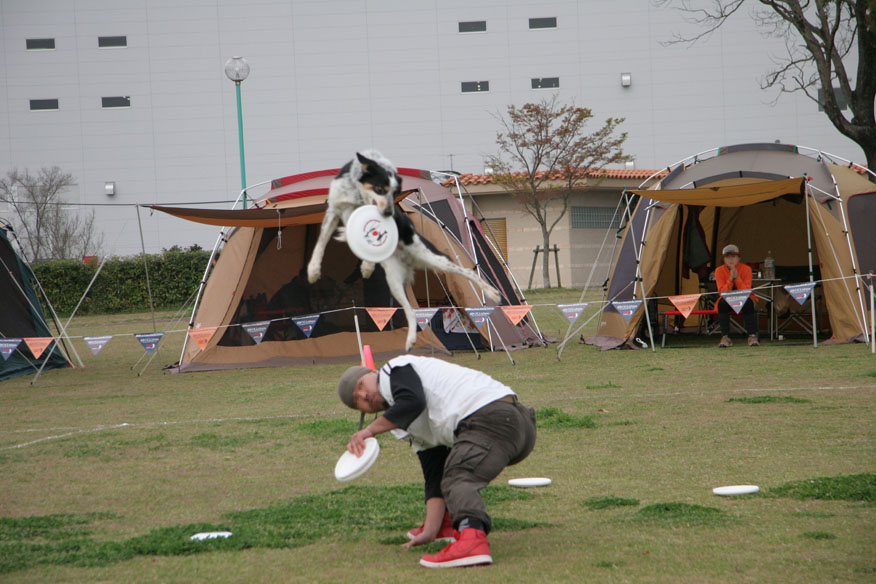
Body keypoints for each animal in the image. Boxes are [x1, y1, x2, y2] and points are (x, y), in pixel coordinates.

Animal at [306, 152, 500, 352]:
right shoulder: (334, 213)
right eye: (380, 188)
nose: (389, 212)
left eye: (395, 191)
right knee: (412, 312)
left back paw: (492, 293)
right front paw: (314, 270)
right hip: (395, 282)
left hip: (434, 259)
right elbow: (322, 244)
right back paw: (410, 340)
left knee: (468, 272)